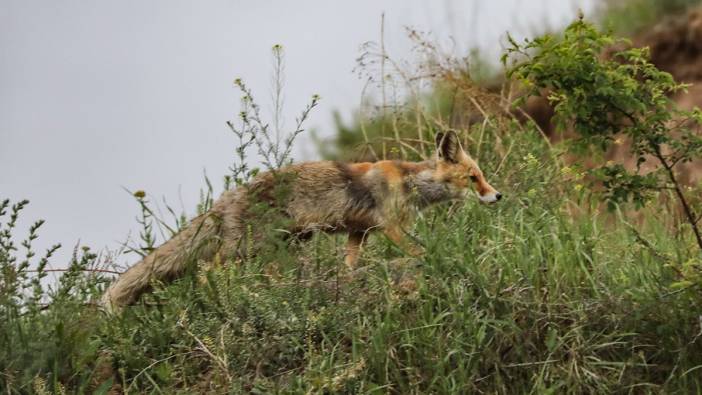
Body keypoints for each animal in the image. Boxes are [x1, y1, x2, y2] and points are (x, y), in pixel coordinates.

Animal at [102, 131, 504, 310]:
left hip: (283, 244)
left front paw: (347, 282)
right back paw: (219, 295)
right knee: (206, 269)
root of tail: (224, 199)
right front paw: (434, 260)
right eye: (473, 178)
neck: (409, 183)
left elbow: (349, 263)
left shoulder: (359, 232)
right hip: (244, 249)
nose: (498, 195)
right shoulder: (391, 227)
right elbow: (419, 251)